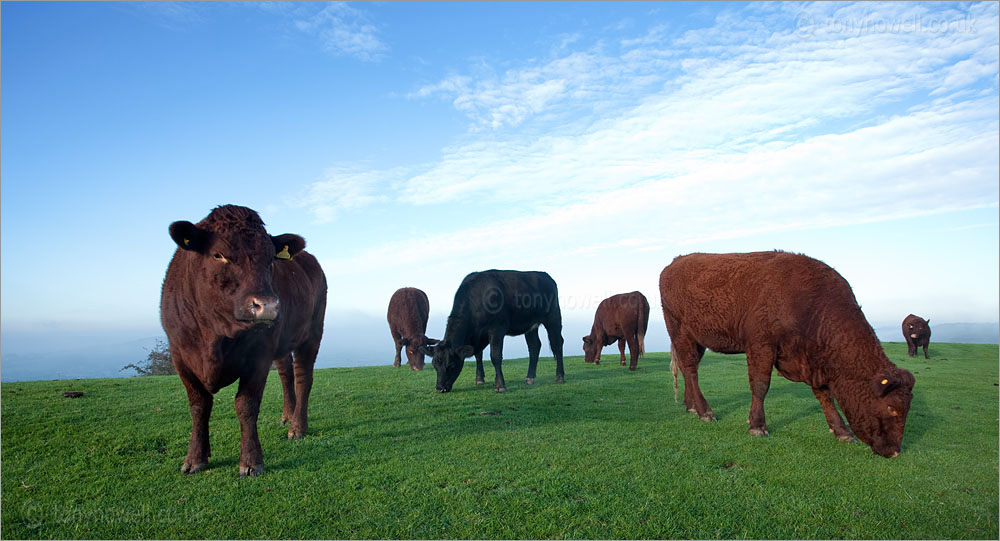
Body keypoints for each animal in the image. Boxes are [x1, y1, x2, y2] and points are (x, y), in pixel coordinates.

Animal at [160, 205, 327, 476]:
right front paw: (196, 457)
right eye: (218, 255)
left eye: (270, 259)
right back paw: (287, 415)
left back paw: (297, 426)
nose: (267, 306)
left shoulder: (259, 355)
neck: (214, 337)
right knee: (286, 374)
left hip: (312, 333)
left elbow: (246, 405)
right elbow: (199, 405)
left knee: (303, 377)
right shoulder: (179, 355)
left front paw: (250, 462)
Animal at [422, 270, 565, 393]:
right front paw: (479, 379)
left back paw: (559, 376)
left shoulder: (497, 329)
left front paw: (500, 385)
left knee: (557, 343)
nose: (440, 388)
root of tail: (546, 276)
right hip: (531, 325)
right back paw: (530, 377)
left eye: (451, 365)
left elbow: (495, 356)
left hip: (553, 317)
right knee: (534, 346)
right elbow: (478, 355)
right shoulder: (477, 335)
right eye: (435, 365)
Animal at [659, 251, 915, 458]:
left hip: (696, 340)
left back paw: (691, 406)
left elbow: (824, 395)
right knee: (691, 369)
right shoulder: (761, 344)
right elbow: (761, 385)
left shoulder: (813, 362)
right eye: (891, 408)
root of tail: (675, 262)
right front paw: (757, 426)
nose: (895, 451)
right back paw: (705, 411)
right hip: (680, 330)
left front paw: (841, 430)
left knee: (686, 369)